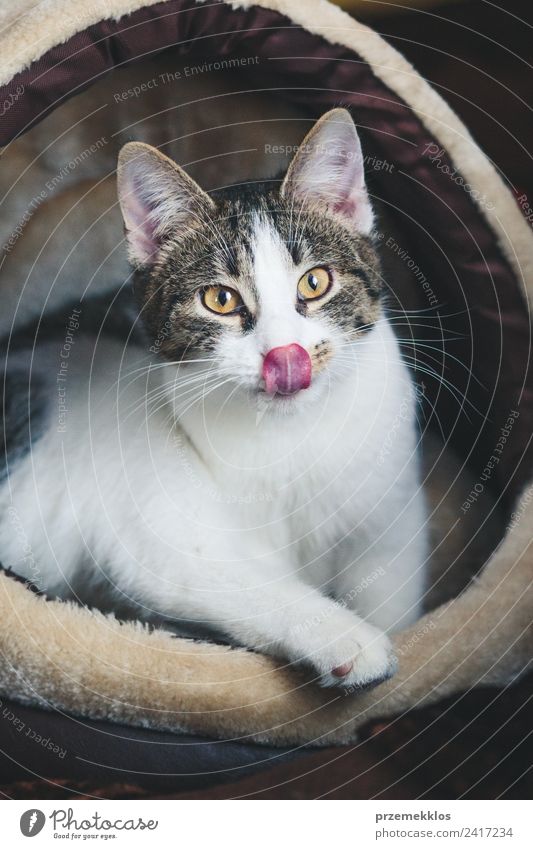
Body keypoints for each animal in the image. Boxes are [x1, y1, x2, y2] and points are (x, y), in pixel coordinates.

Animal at [0, 107, 426, 688]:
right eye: (220, 299)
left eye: (315, 282)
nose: (285, 356)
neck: (294, 437)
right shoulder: (156, 529)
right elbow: (221, 575)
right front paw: (344, 635)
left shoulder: (393, 509)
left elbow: (391, 580)